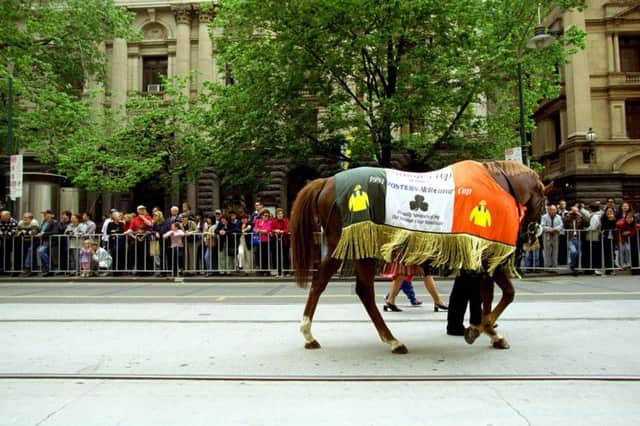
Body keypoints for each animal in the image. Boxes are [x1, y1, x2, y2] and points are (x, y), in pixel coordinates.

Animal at [290, 160, 544, 352]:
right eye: (544, 202)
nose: (533, 234)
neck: (497, 185)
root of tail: (328, 181)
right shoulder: (488, 257)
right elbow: (506, 294)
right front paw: (480, 329)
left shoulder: (482, 260)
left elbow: (487, 296)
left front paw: (486, 331)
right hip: (353, 247)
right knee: (354, 289)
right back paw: (390, 340)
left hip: (351, 248)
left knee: (334, 285)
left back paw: (313, 335)